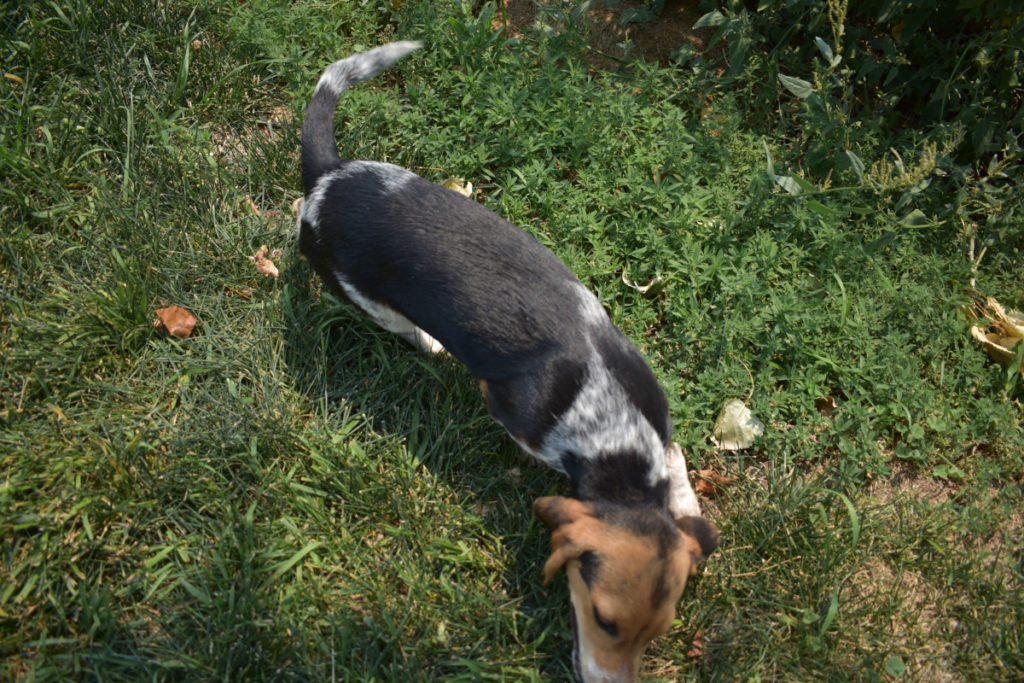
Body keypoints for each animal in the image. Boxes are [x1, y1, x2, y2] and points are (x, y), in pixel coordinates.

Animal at [299, 44, 720, 683]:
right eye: (603, 620)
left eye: (658, 633)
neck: (615, 440)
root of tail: (325, 178)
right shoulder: (517, 420)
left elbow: (677, 462)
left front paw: (686, 506)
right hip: (358, 293)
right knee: (396, 323)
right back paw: (428, 343)